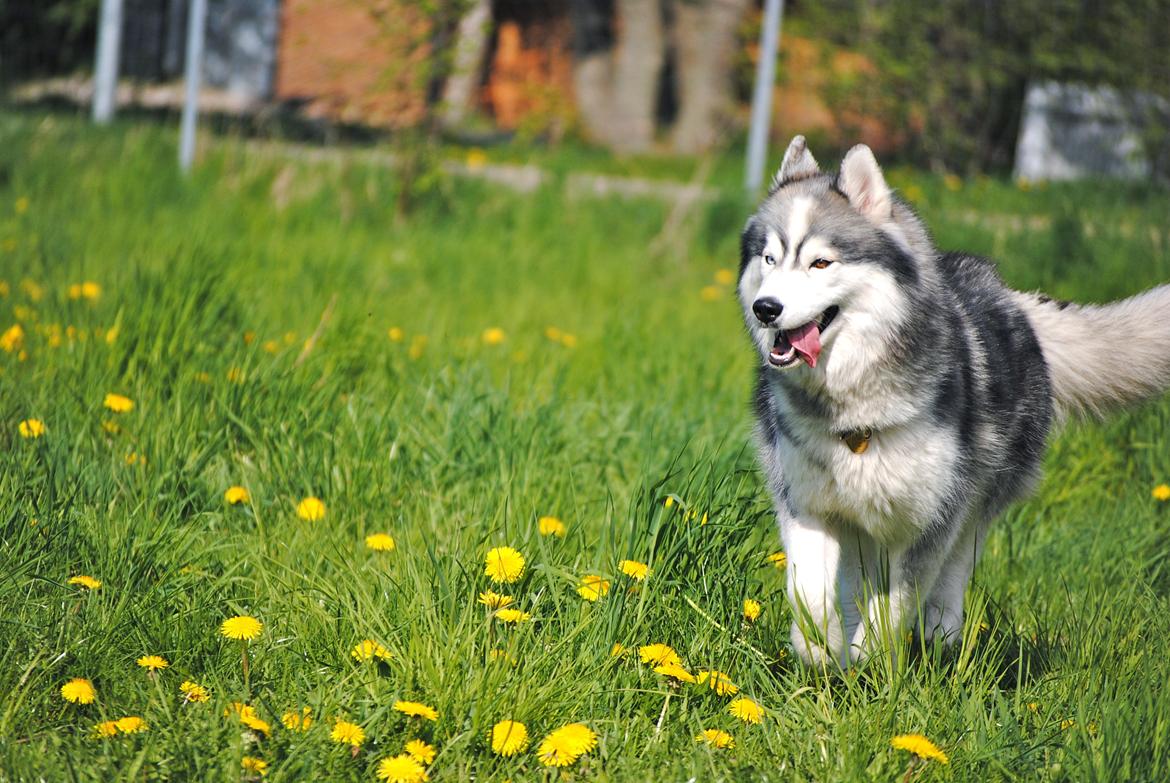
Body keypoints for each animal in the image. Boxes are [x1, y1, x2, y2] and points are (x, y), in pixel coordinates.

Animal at [739, 135, 1170, 664]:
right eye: (769, 259)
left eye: (821, 262)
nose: (766, 308)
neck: (853, 405)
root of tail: (1011, 298)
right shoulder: (808, 506)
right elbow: (809, 595)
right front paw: (824, 650)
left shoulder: (931, 520)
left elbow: (895, 604)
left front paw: (872, 657)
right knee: (855, 581)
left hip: (978, 499)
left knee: (954, 570)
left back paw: (940, 633)